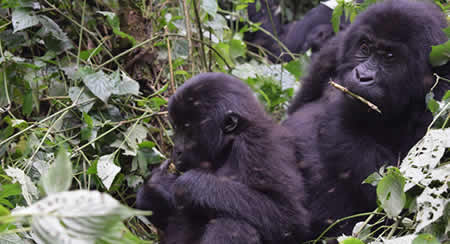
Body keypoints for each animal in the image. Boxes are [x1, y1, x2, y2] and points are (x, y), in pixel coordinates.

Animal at [135, 73, 310, 244]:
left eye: (188, 130)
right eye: (176, 128)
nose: (176, 150)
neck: (228, 145)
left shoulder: (260, 145)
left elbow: (289, 217)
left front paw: (188, 184)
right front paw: (154, 191)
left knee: (233, 222)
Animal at [284, 0, 450, 238]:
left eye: (389, 57)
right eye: (364, 48)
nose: (362, 76)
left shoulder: (442, 98)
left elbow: (398, 195)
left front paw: (341, 108)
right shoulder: (334, 49)